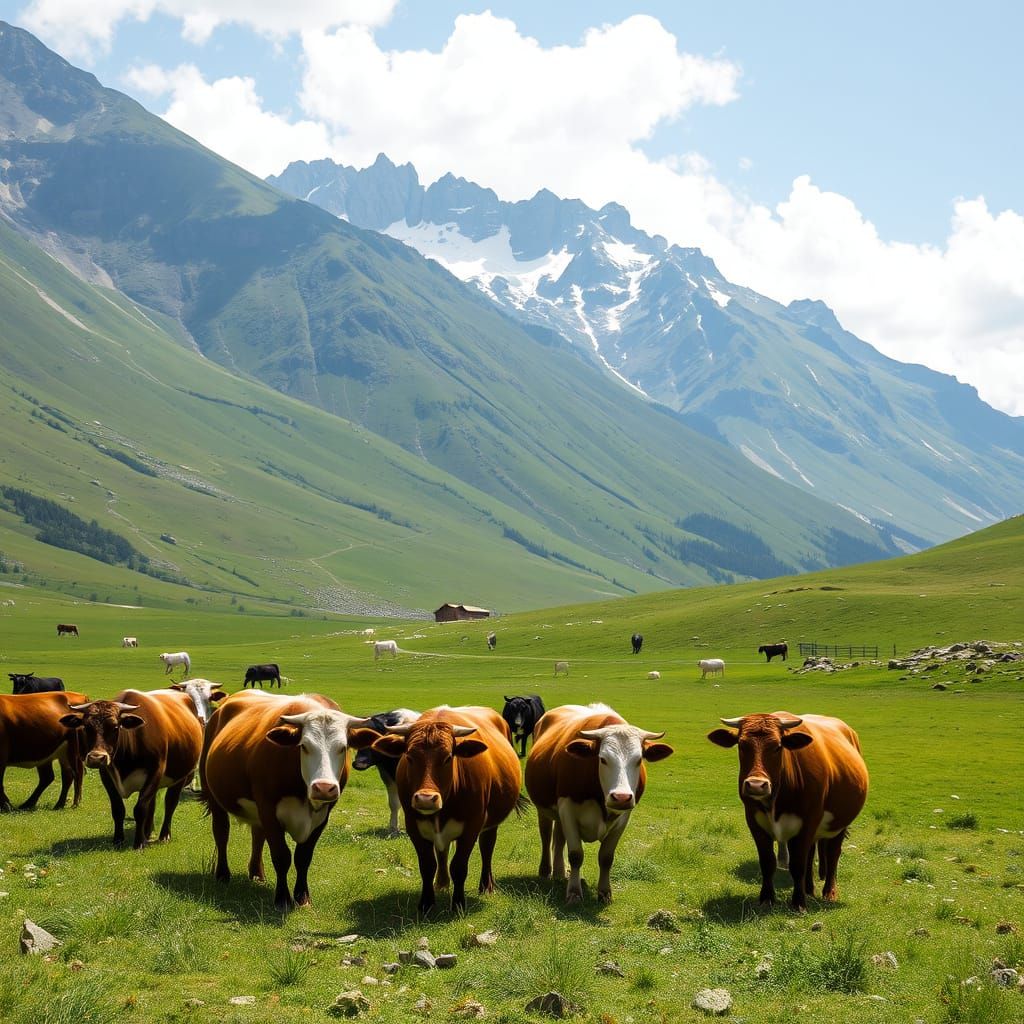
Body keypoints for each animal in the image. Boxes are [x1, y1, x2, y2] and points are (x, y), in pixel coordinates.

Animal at [60, 689, 203, 849]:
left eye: (115, 727)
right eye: (86, 727)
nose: (96, 758)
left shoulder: (155, 772)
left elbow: (140, 808)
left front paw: (139, 842)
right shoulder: (106, 775)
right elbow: (118, 809)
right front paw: (118, 840)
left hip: (180, 777)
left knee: (170, 803)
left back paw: (164, 835)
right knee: (152, 804)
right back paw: (148, 832)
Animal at [199, 690, 371, 910]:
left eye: (343, 747)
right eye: (304, 746)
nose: (324, 787)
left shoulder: (323, 817)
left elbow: (303, 857)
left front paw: (303, 897)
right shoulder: (268, 808)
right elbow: (281, 855)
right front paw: (282, 898)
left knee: (257, 835)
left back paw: (257, 874)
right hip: (214, 796)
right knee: (221, 833)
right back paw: (222, 874)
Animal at [368, 705, 523, 915]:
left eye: (448, 757)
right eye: (409, 756)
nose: (426, 799)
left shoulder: (471, 827)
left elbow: (459, 866)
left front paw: (458, 904)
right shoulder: (414, 827)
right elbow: (427, 865)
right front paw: (426, 904)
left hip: (490, 824)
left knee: (487, 847)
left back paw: (486, 885)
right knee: (442, 850)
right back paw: (441, 884)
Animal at [525, 703, 673, 904]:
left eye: (638, 760)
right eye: (603, 759)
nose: (621, 796)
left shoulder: (623, 817)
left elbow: (606, 858)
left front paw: (604, 892)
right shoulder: (567, 808)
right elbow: (576, 854)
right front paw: (574, 893)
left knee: (559, 837)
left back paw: (560, 872)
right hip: (544, 809)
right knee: (546, 835)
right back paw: (546, 870)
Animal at [707, 712, 869, 910]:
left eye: (778, 747)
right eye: (742, 745)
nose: (756, 785)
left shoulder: (808, 821)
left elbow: (798, 863)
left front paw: (798, 903)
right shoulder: (754, 822)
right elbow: (768, 862)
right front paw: (767, 898)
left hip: (840, 823)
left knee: (832, 853)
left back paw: (829, 892)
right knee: (811, 853)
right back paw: (809, 889)